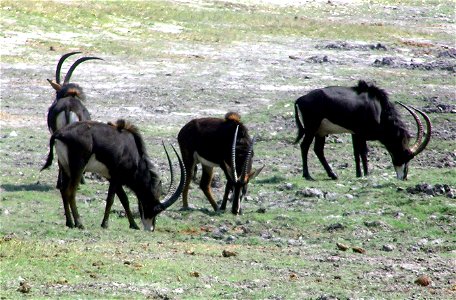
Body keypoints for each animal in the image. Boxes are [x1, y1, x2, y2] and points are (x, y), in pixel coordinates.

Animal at [41, 118, 185, 231]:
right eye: (155, 209)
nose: (150, 228)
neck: (134, 153)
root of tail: (59, 134)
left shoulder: (112, 178)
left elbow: (124, 200)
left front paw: (133, 225)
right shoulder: (116, 177)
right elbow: (111, 199)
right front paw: (105, 224)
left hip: (64, 167)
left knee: (63, 190)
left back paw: (69, 223)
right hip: (78, 168)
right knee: (70, 192)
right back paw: (79, 223)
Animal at [296, 79, 432, 180]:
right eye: (407, 156)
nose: (403, 177)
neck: (378, 109)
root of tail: (300, 99)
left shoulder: (355, 134)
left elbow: (357, 153)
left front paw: (359, 174)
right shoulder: (360, 134)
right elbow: (364, 152)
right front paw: (366, 174)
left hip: (321, 132)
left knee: (318, 150)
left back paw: (333, 175)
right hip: (311, 128)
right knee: (304, 146)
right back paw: (307, 175)